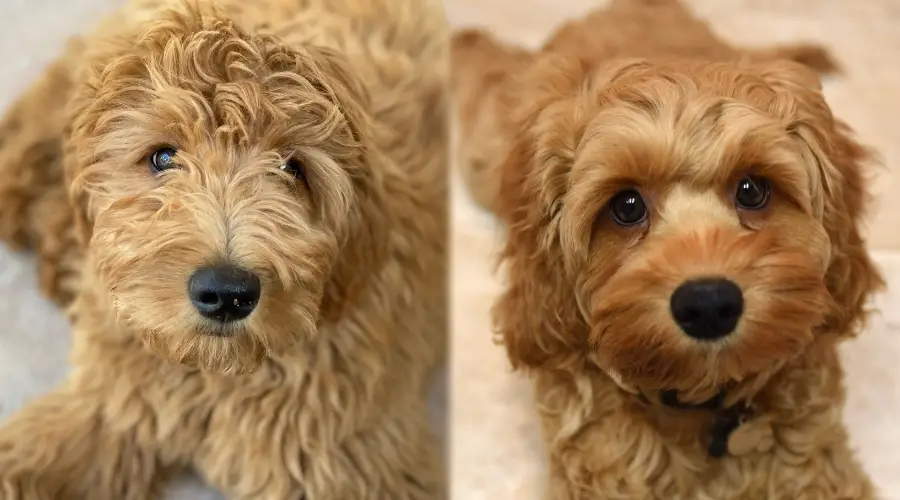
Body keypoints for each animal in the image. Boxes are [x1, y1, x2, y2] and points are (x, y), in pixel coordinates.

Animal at [0, 0, 450, 496]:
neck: (212, 375)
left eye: (293, 169)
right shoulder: (105, 409)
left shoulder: (353, 463)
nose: (226, 293)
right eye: (163, 157)